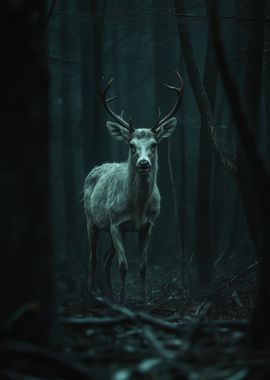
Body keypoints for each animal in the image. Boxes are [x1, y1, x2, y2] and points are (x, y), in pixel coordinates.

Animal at [83, 72, 182, 306]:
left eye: (155, 144)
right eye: (131, 145)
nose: (144, 163)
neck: (137, 207)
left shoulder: (147, 225)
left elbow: (143, 267)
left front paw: (145, 302)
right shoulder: (117, 224)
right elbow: (123, 266)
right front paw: (123, 301)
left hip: (107, 228)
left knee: (104, 260)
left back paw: (108, 298)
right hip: (91, 220)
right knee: (92, 259)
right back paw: (91, 298)